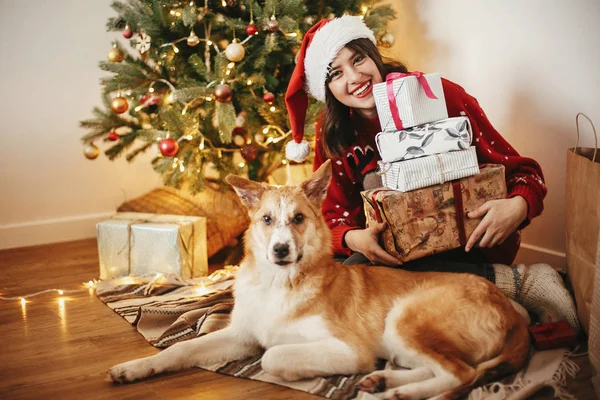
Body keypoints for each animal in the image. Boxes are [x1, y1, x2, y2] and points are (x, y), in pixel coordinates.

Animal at [108, 161, 528, 398]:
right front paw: (134, 368)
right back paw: (384, 384)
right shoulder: (240, 335)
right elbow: (179, 349)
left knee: (461, 373)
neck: (279, 285)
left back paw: (400, 393)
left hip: (404, 319)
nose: (279, 250)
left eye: (298, 218)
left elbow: (273, 356)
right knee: (443, 368)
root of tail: (514, 313)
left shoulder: (349, 349)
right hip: (401, 337)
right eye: (266, 220)